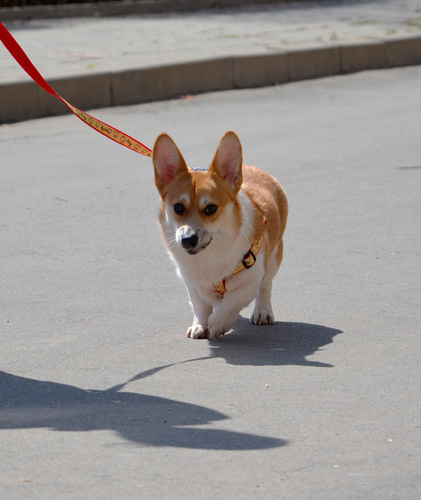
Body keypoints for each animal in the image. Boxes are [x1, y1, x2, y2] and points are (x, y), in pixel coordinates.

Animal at [153, 130, 288, 340]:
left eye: (211, 209)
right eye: (178, 207)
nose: (188, 240)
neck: (209, 256)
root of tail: (254, 168)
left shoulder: (249, 281)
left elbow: (231, 303)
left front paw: (217, 324)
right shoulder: (192, 283)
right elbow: (200, 306)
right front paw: (200, 325)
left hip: (273, 259)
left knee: (266, 287)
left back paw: (262, 312)